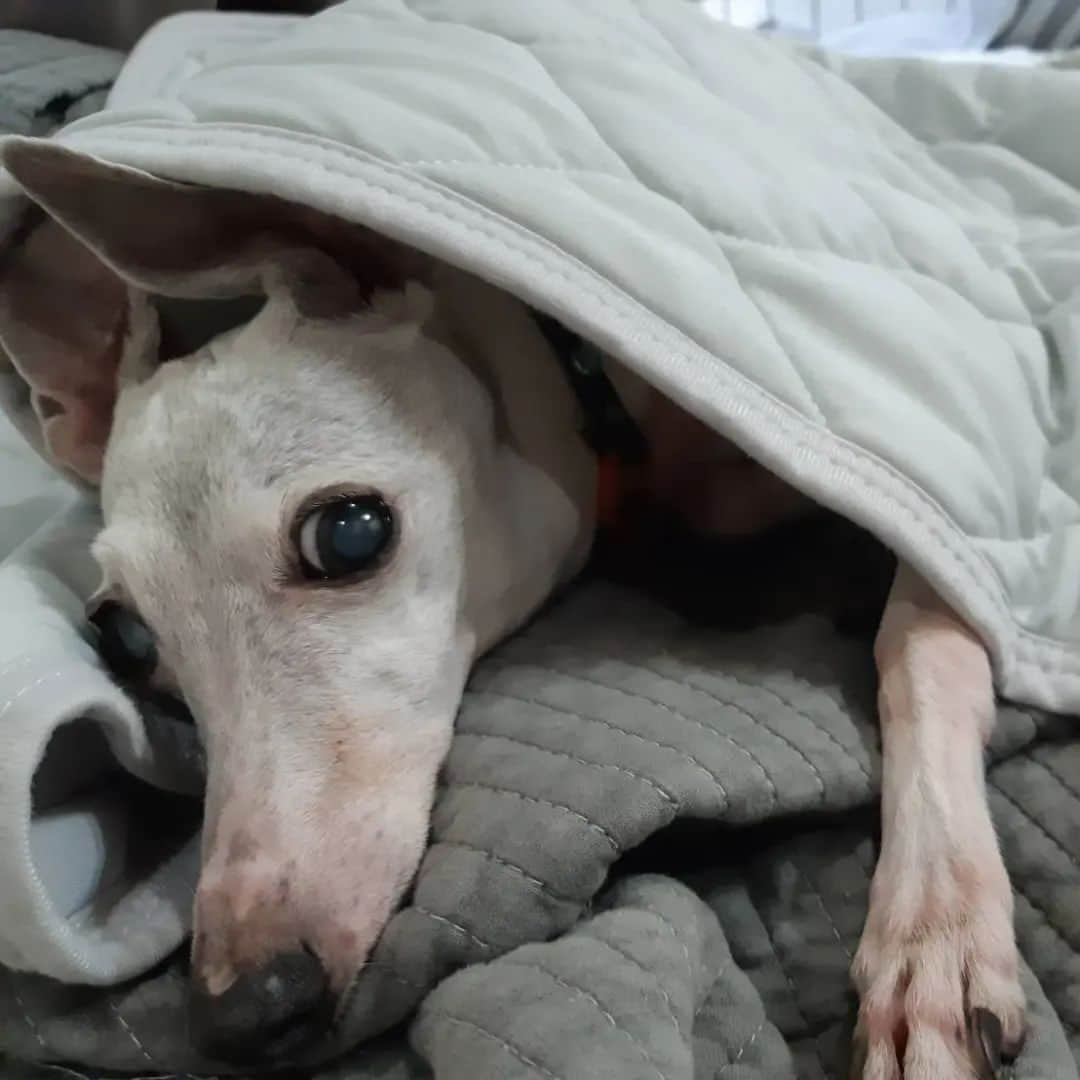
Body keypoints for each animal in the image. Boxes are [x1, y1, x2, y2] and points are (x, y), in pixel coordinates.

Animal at [0, 145, 1023, 1080]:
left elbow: (925, 640)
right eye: (125, 639)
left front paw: (935, 936)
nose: (242, 1015)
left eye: (350, 533)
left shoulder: (921, 486)